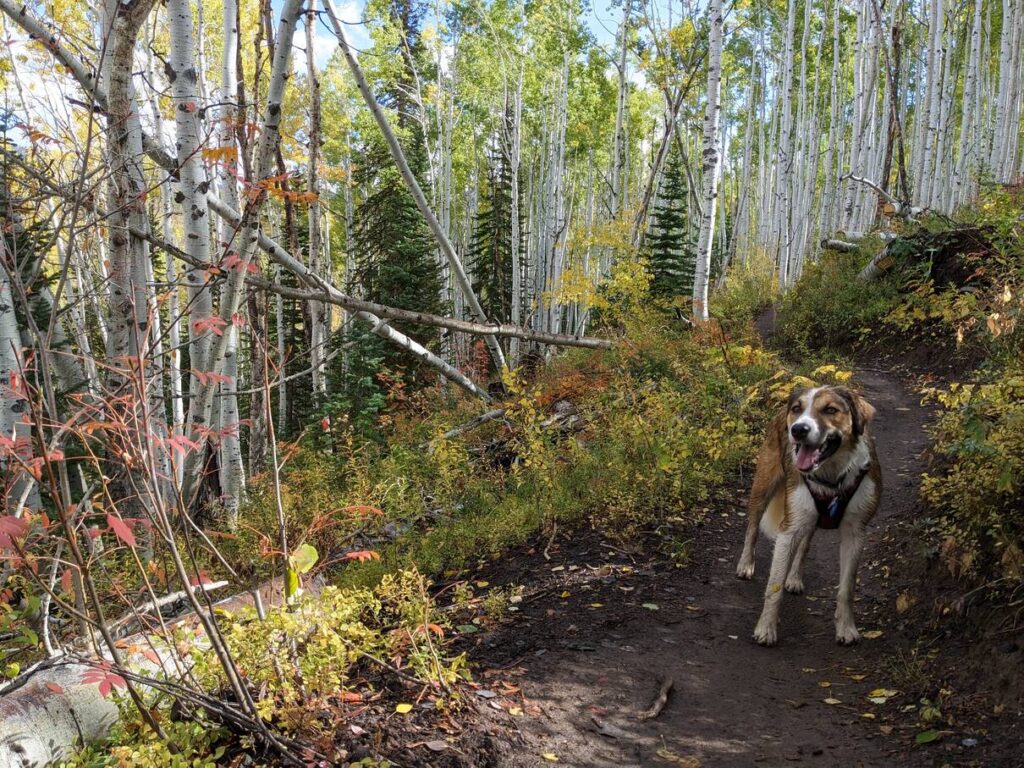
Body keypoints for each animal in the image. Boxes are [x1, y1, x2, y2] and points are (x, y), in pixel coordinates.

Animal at [737, 387, 880, 647]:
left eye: (830, 410)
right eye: (797, 409)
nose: (798, 430)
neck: (831, 477)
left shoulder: (855, 533)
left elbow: (847, 588)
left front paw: (846, 628)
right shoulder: (788, 530)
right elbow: (774, 585)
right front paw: (766, 629)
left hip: (811, 518)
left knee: (805, 544)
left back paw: (794, 576)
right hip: (763, 486)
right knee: (752, 527)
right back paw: (745, 564)